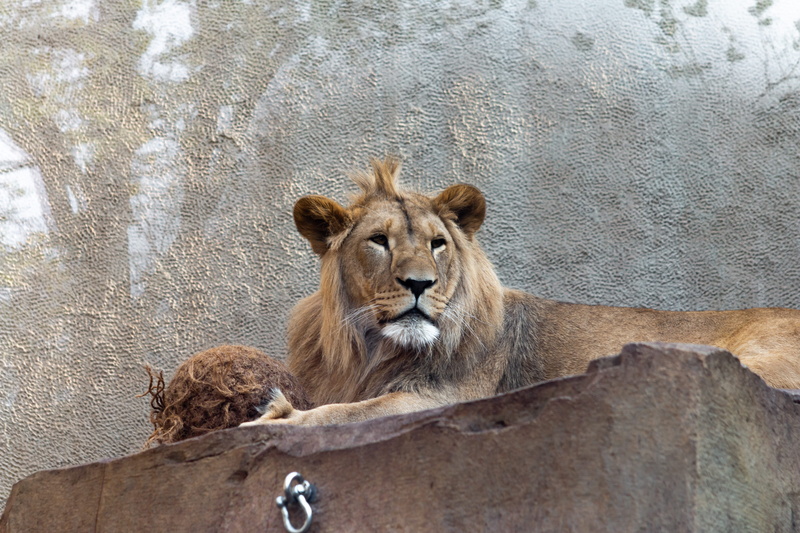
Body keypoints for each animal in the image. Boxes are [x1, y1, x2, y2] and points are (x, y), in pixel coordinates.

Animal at [242, 157, 800, 427]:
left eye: (438, 244)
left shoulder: (445, 399)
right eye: (379, 241)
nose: (420, 284)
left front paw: (279, 416)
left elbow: (345, 413)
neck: (371, 349)